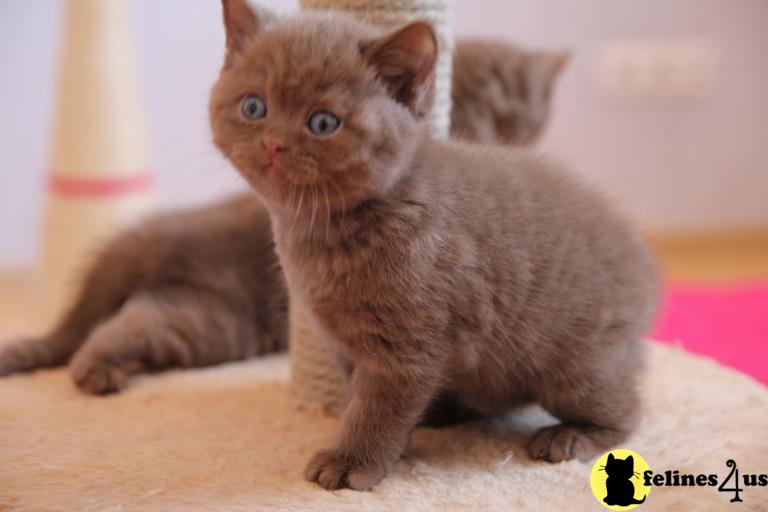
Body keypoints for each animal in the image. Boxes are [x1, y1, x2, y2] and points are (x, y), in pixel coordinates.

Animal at [3, 35, 568, 396]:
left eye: (524, 120)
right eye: (502, 118)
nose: (508, 140)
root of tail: (153, 244)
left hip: (203, 316)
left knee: (133, 318)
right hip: (216, 318)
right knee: (106, 331)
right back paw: (96, 372)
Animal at [207, 1, 656, 492]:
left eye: (323, 123)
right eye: (254, 106)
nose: (272, 144)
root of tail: (644, 263)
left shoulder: (406, 345)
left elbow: (377, 407)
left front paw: (351, 460)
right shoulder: (346, 345)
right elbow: (364, 397)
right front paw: (394, 446)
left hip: (576, 362)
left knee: (625, 410)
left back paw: (572, 436)